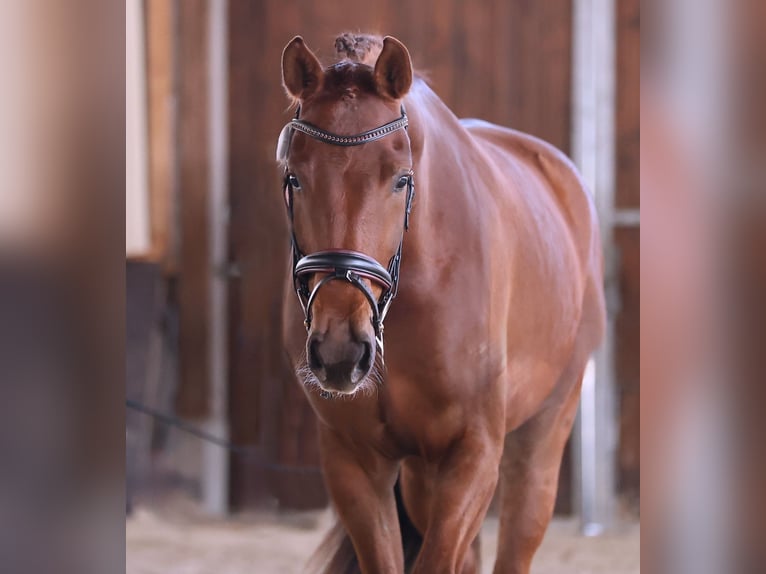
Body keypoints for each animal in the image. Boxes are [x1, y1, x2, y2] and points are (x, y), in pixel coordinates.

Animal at [276, 33, 605, 574]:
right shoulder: (353, 460)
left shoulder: (473, 452)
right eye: (295, 177)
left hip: (543, 435)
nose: (341, 351)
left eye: (400, 178)